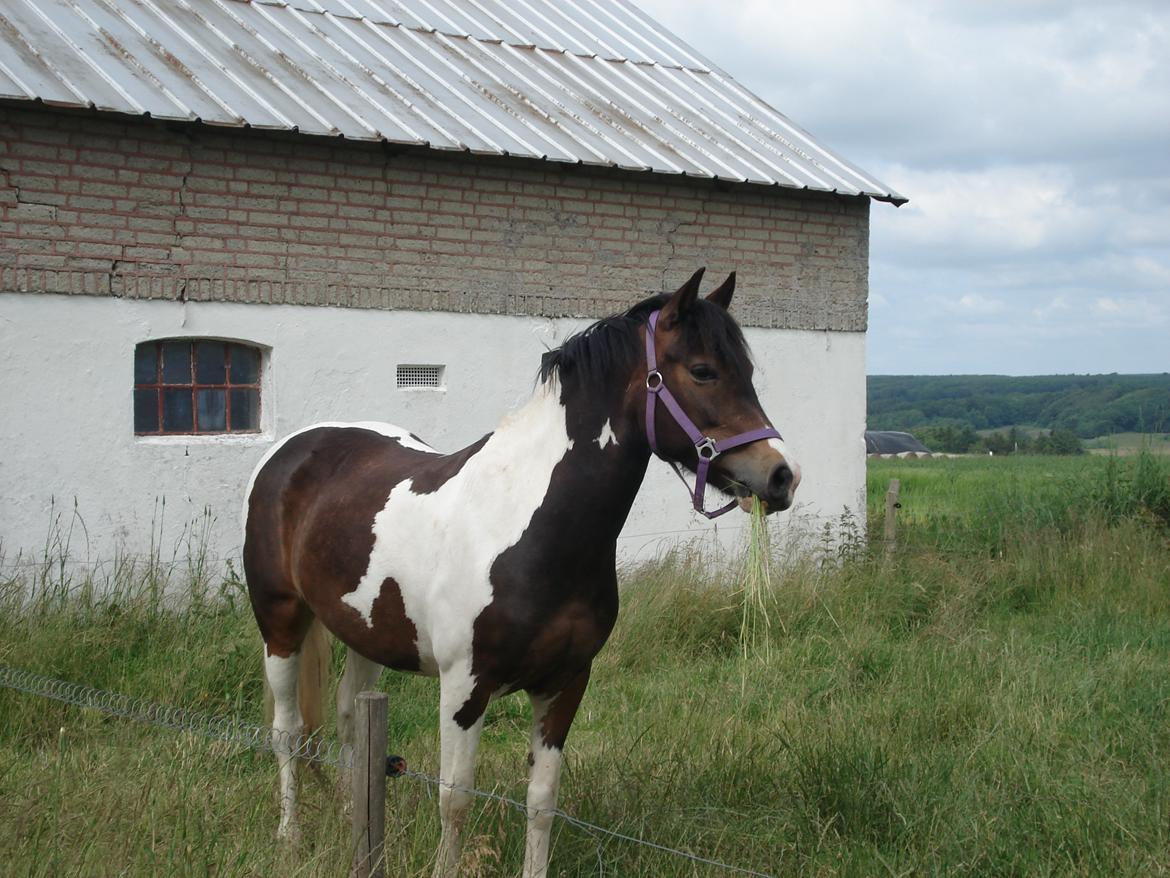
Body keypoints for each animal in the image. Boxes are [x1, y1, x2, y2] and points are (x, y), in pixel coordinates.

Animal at [242, 270, 800, 878]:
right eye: (702, 370)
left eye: (747, 372)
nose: (781, 477)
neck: (527, 526)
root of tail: (293, 448)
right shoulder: (465, 686)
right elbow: (454, 798)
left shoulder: (565, 683)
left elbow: (541, 801)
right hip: (280, 622)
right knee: (287, 732)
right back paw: (290, 836)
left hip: (363, 632)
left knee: (348, 719)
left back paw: (352, 825)